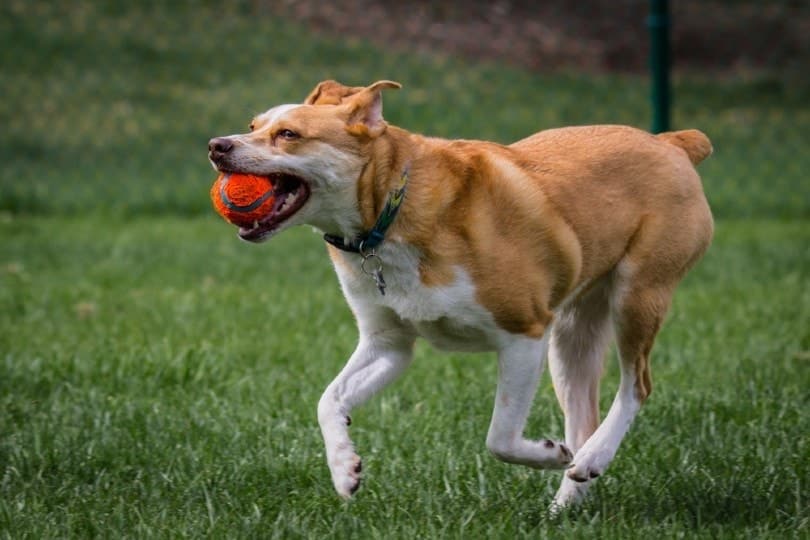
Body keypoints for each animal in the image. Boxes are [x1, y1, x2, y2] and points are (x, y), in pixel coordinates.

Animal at [205, 78, 712, 508]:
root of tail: (672, 142)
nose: (216, 146)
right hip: (573, 334)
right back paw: (567, 497)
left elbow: (500, 436)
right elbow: (328, 400)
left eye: (288, 134)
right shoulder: (388, 343)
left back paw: (589, 457)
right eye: (253, 126)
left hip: (638, 293)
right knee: (583, 410)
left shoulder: (524, 333)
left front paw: (549, 453)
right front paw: (345, 469)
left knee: (636, 384)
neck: (388, 210)